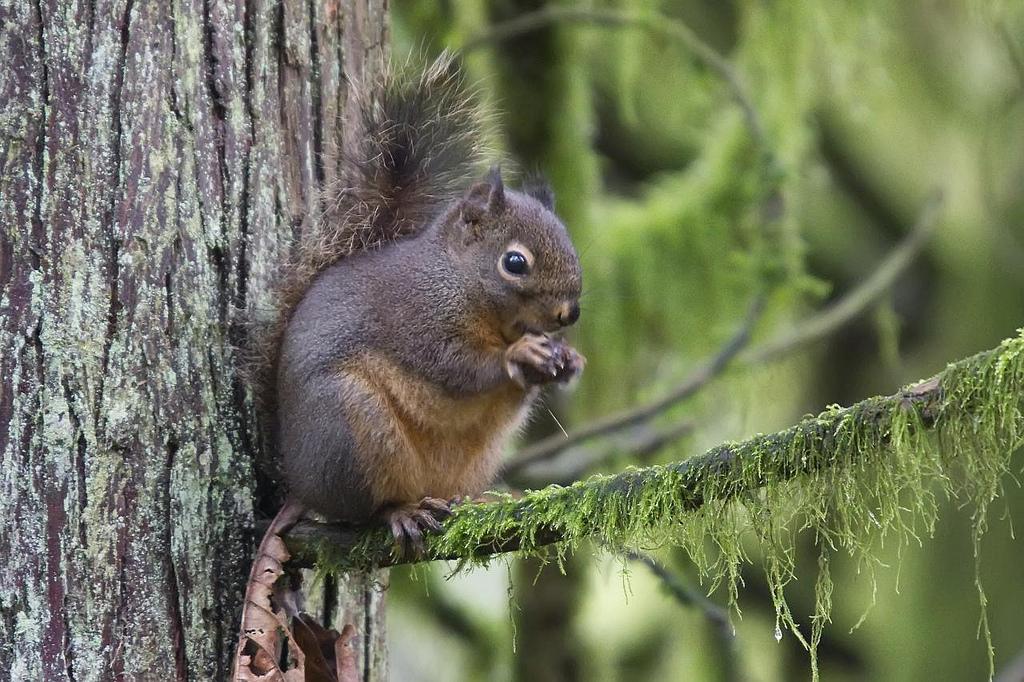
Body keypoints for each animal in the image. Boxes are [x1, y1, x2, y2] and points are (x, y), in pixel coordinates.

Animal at [248, 54, 585, 556]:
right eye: (515, 262)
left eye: (570, 243)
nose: (570, 313)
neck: (458, 281)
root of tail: (301, 483)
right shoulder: (418, 319)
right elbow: (455, 366)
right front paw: (520, 355)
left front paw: (567, 359)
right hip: (350, 426)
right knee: (365, 510)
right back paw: (401, 511)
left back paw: (476, 500)